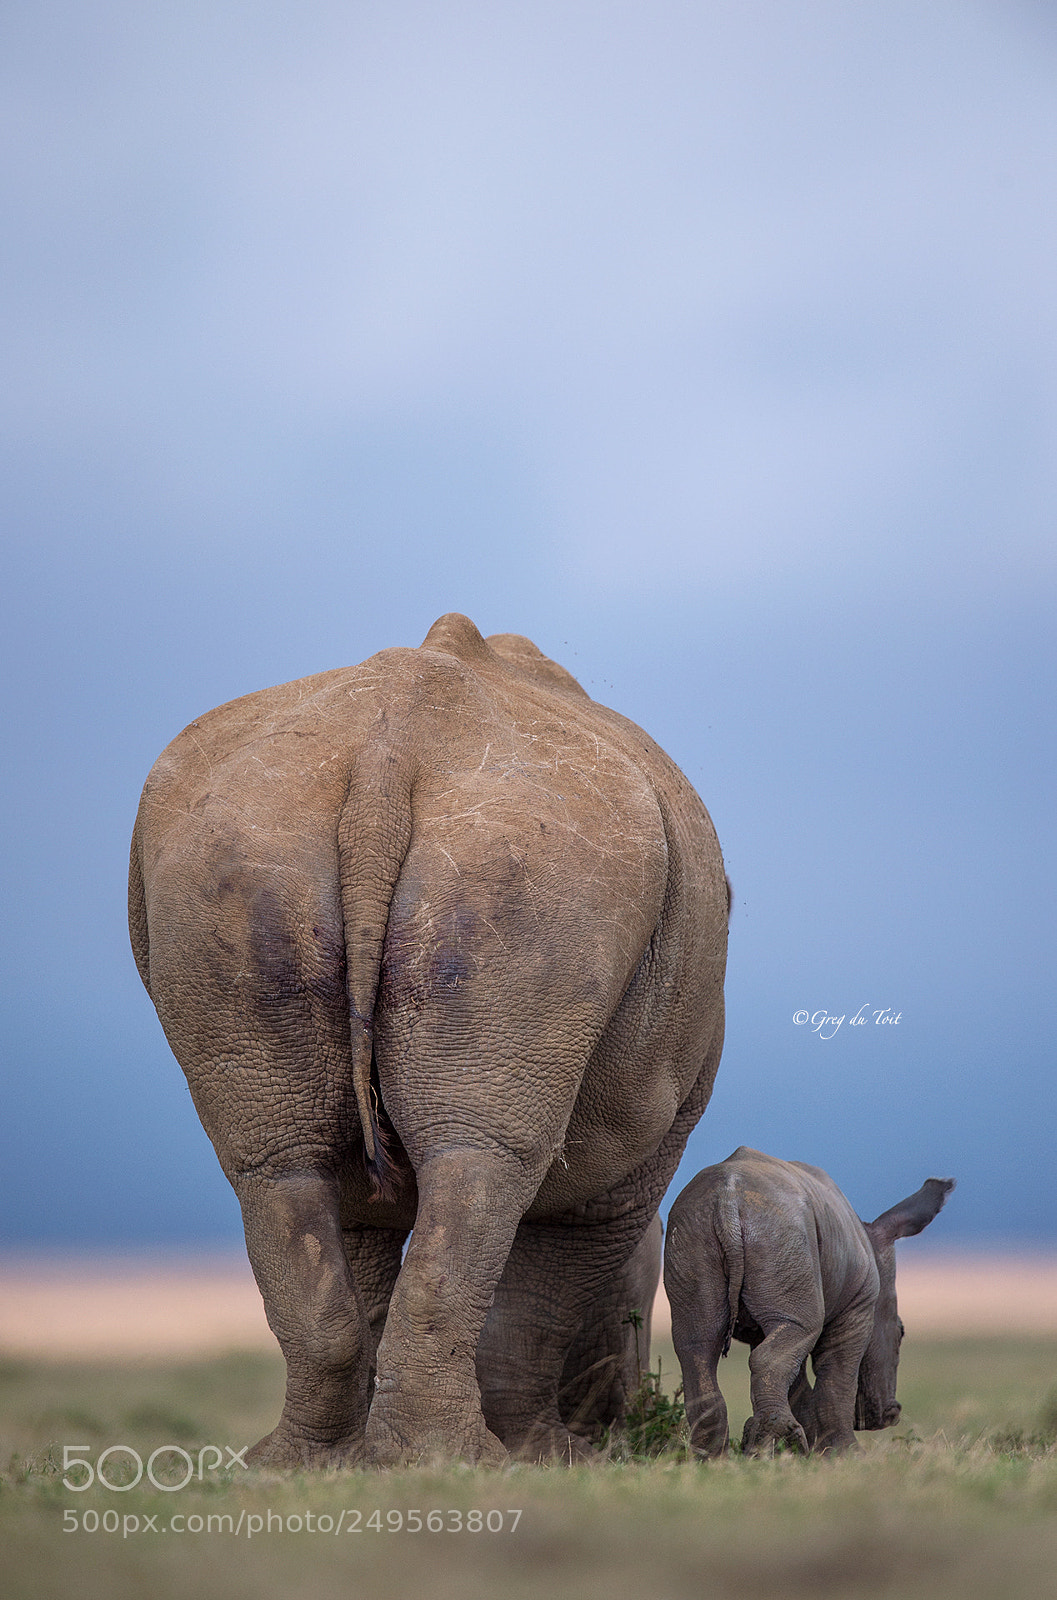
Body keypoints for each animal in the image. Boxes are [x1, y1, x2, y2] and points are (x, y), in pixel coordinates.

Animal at [663, 1147, 954, 1456]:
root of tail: (727, 1200)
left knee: (697, 1344)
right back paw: (769, 1442)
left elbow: (797, 1381)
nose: (891, 1414)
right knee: (797, 1333)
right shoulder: (857, 1306)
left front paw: (814, 1450)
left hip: (697, 1230)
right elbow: (837, 1377)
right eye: (901, 1333)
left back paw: (711, 1457)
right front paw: (845, 1453)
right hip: (779, 1231)